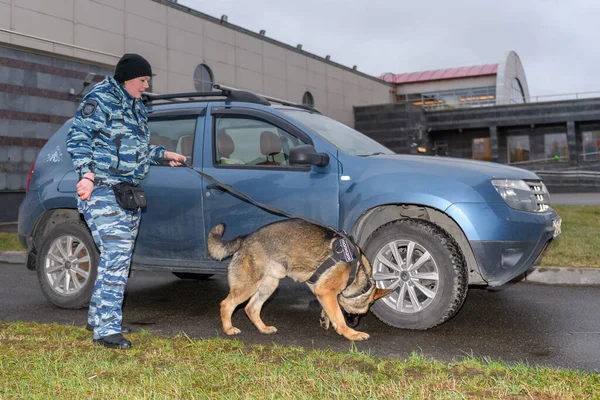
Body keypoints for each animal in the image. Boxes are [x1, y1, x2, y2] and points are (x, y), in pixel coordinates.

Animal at [209, 219, 392, 340]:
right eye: (358, 314)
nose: (354, 324)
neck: (359, 273)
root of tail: (245, 238)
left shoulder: (321, 291)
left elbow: (330, 309)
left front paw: (326, 318)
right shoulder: (326, 291)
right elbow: (339, 317)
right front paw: (351, 333)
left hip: (269, 285)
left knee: (251, 308)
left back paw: (263, 328)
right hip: (249, 285)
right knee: (226, 304)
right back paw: (228, 329)